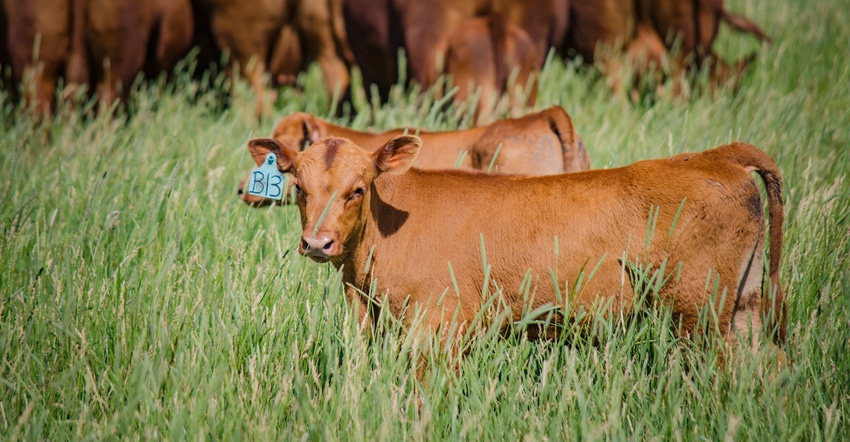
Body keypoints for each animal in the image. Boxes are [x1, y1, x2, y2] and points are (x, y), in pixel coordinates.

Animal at [248, 136, 784, 368]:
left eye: (357, 189)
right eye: (299, 188)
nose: (318, 243)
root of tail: (715, 155)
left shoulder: (439, 326)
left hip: (700, 313)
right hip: (744, 305)